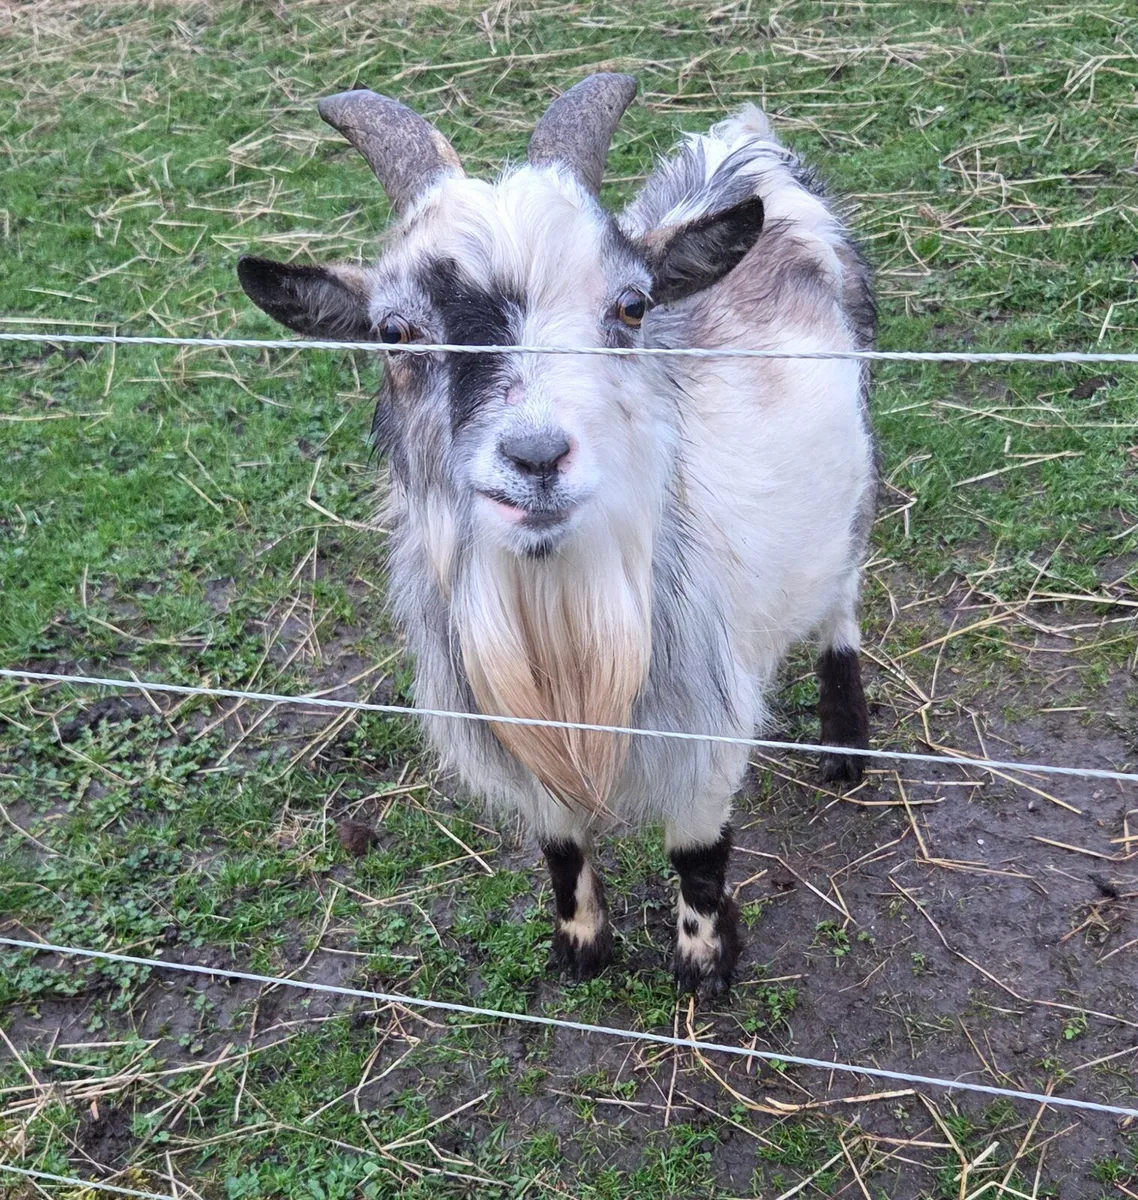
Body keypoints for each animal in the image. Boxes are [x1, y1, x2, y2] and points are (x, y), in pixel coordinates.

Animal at [237, 75, 876, 997]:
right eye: (395, 332)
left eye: (631, 306)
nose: (536, 457)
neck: (566, 631)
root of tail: (741, 150)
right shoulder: (517, 733)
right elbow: (561, 846)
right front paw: (580, 949)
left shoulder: (706, 728)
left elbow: (698, 853)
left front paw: (703, 966)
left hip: (853, 496)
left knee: (841, 604)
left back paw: (846, 743)